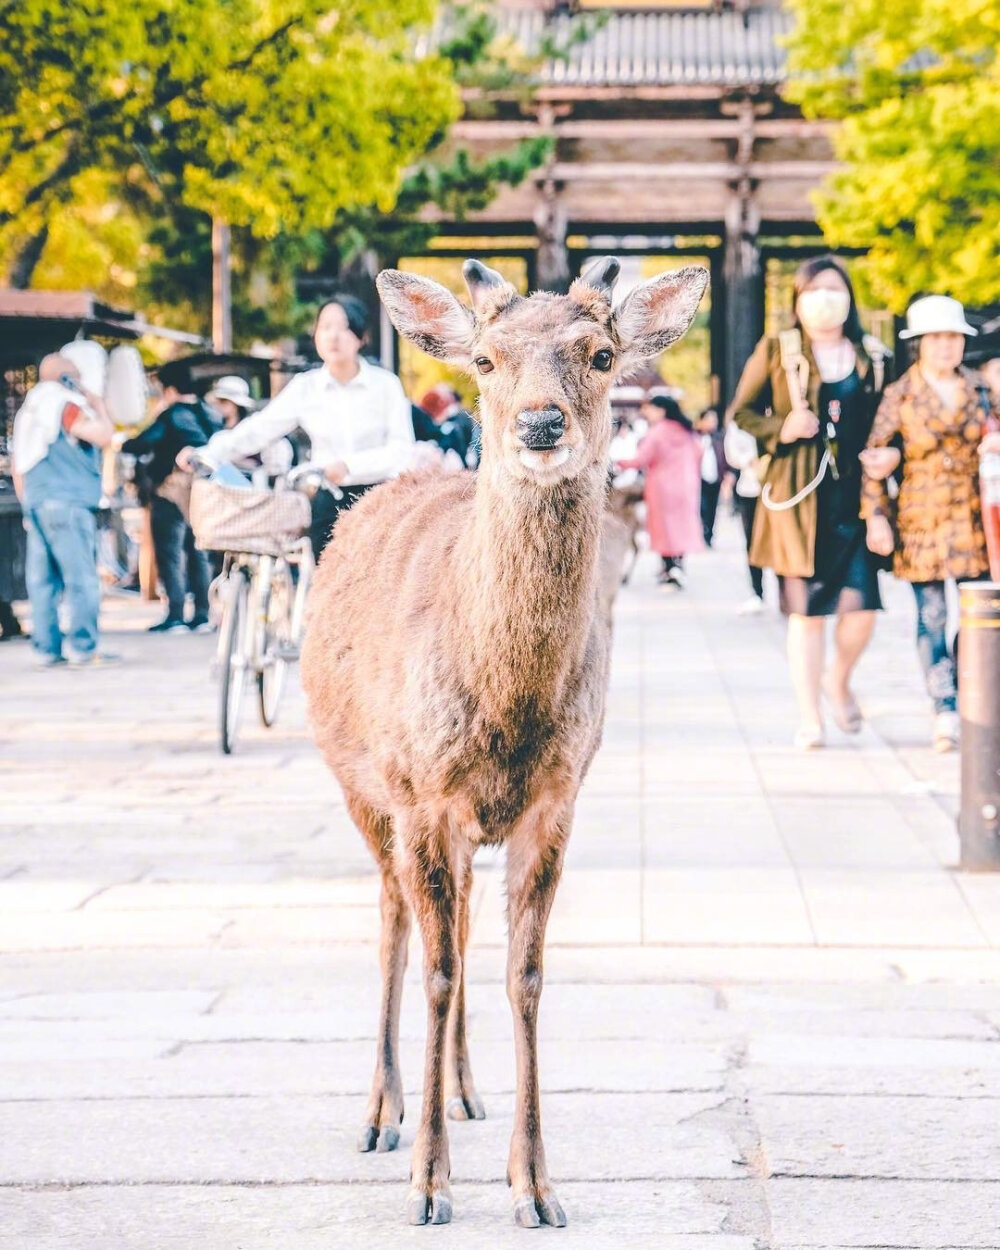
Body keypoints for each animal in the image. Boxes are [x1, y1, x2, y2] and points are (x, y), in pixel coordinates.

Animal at [301, 251, 705, 1220]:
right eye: (485, 361)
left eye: (601, 354)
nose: (542, 422)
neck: (506, 705)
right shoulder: (420, 796)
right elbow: (440, 971)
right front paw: (428, 1187)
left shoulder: (555, 800)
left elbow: (524, 974)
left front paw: (537, 1186)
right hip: (361, 786)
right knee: (395, 923)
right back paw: (382, 1113)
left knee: (456, 924)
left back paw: (464, 1091)